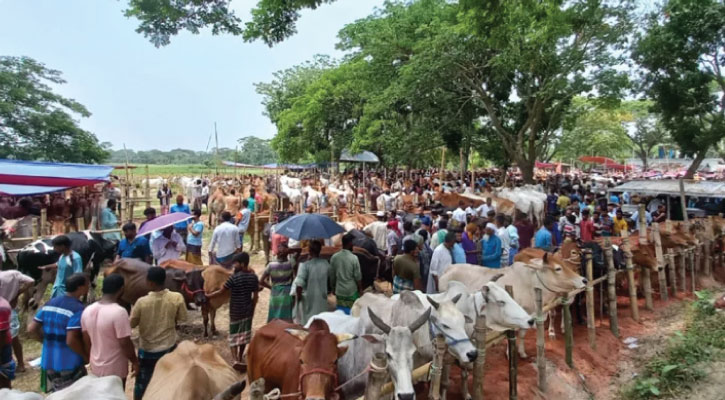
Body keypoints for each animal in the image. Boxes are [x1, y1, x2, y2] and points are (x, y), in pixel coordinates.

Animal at [438, 258, 584, 358]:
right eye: (558, 268)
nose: (583, 280)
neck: (529, 283)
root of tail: (449, 268)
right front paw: (510, 353)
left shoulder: (528, 316)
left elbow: (523, 333)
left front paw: (522, 352)